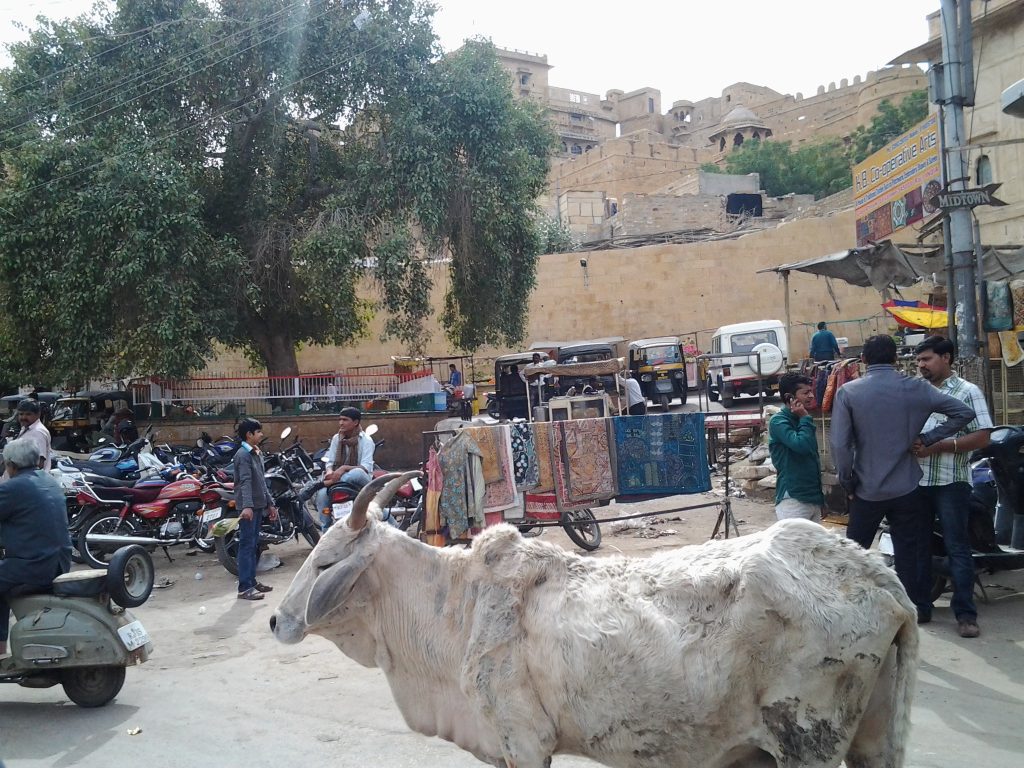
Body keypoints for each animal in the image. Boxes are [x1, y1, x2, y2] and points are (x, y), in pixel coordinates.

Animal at [272, 475, 921, 768]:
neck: (455, 608)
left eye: (326, 561)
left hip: (807, 743)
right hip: (873, 743)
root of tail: (877, 575)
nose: (277, 621)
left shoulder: (524, 742)